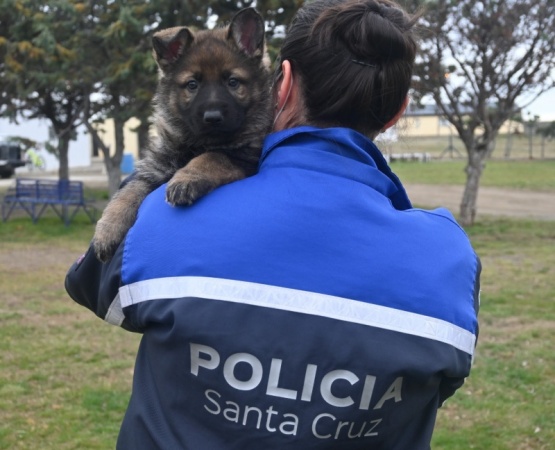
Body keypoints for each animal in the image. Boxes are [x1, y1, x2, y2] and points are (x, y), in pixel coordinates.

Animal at [93, 8, 274, 262]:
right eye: (192, 84)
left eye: (233, 82)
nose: (213, 117)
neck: (197, 144)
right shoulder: (155, 170)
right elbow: (128, 191)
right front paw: (107, 229)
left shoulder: (246, 156)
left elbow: (212, 157)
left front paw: (186, 178)